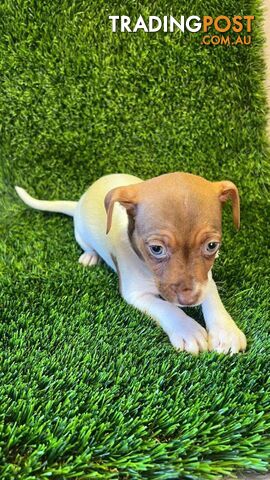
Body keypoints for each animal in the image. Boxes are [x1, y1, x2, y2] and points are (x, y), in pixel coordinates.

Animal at [14, 172, 247, 352]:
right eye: (156, 249)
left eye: (212, 246)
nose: (189, 300)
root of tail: (80, 200)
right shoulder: (136, 295)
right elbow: (166, 307)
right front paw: (187, 329)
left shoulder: (205, 279)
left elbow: (211, 295)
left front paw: (225, 330)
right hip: (80, 233)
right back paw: (90, 256)